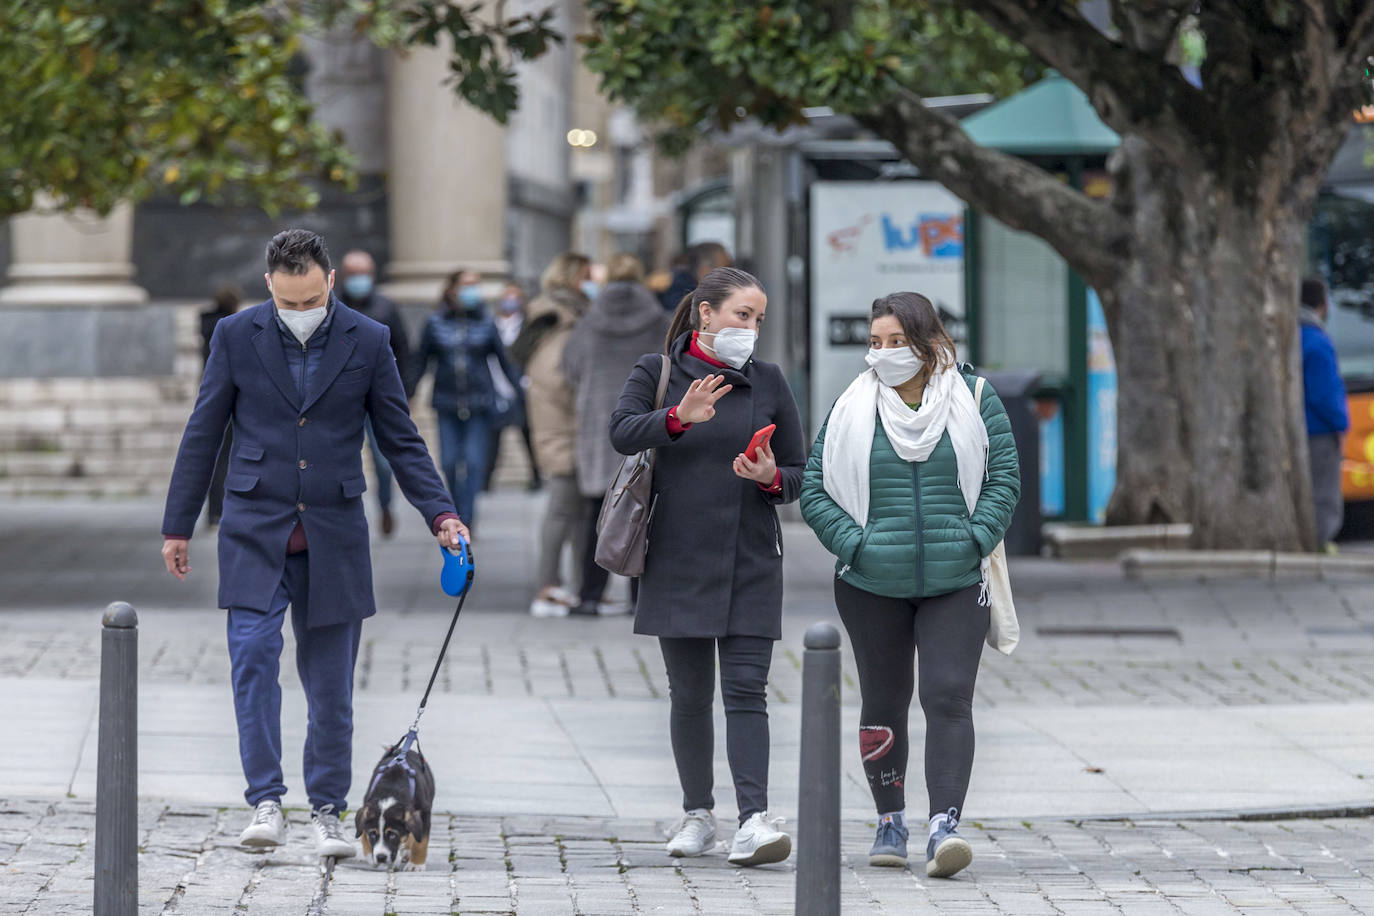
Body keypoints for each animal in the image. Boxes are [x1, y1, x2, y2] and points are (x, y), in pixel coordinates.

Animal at [354, 741, 434, 873]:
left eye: (392, 835)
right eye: (373, 834)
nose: (381, 857)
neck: (391, 789)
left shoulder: (424, 813)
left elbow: (421, 841)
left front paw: (416, 864)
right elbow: (363, 834)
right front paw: (370, 856)